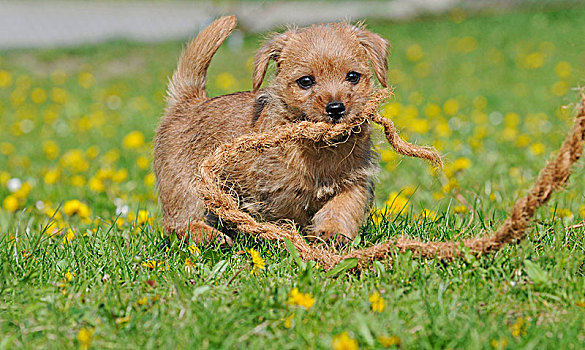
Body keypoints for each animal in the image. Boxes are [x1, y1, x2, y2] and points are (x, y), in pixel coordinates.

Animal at [154, 16, 388, 245]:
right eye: (306, 81)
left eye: (353, 76)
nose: (336, 108)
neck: (322, 148)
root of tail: (189, 102)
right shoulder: (278, 192)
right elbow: (289, 216)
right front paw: (290, 238)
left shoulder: (353, 180)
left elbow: (342, 209)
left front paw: (332, 234)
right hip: (185, 184)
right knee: (180, 223)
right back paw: (210, 237)